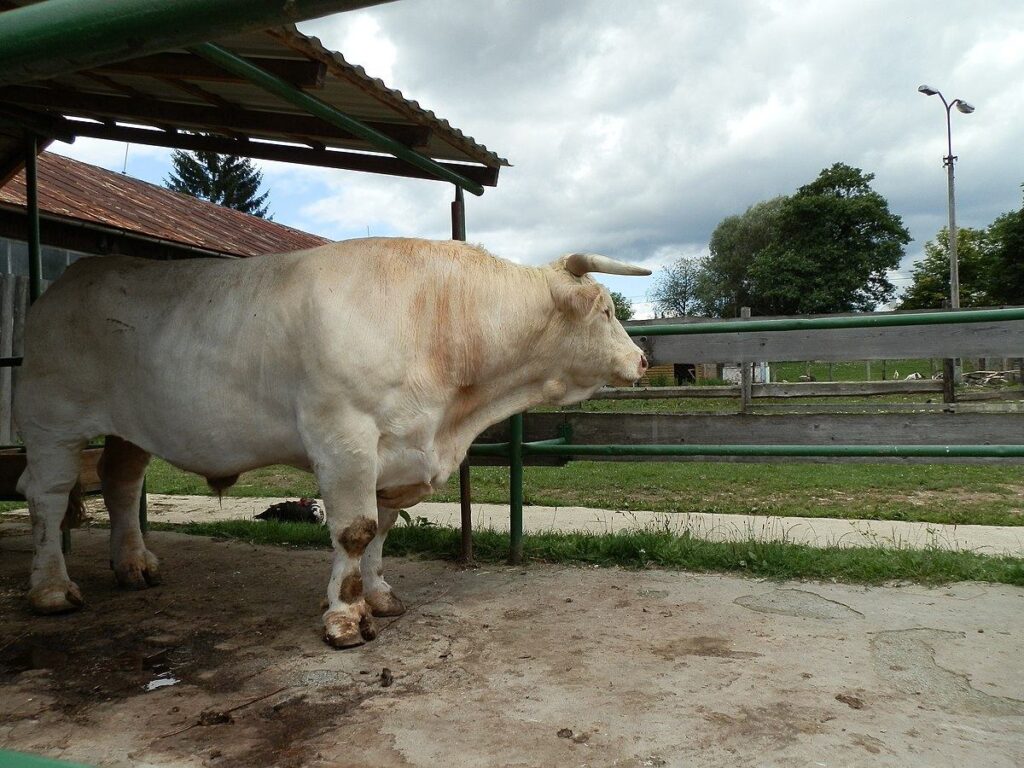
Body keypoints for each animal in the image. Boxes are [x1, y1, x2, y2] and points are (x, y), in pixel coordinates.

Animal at [15, 237, 649, 648]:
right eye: (607, 310)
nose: (643, 359)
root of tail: (64, 285)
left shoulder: (395, 453)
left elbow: (382, 531)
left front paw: (380, 595)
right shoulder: (344, 437)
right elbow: (356, 530)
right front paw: (346, 617)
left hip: (131, 426)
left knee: (121, 483)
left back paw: (136, 565)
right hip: (51, 421)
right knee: (47, 494)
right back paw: (52, 589)